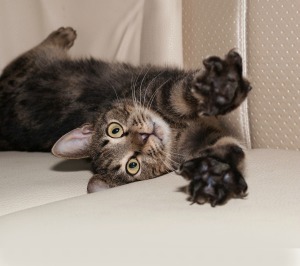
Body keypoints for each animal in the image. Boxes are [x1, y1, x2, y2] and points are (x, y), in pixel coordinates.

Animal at [0, 27, 251, 206]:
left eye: (115, 130)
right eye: (133, 165)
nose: (143, 137)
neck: (176, 130)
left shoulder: (161, 90)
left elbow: (183, 94)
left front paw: (217, 86)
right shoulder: (199, 138)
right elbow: (225, 148)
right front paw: (214, 177)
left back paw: (64, 34)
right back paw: (63, 35)